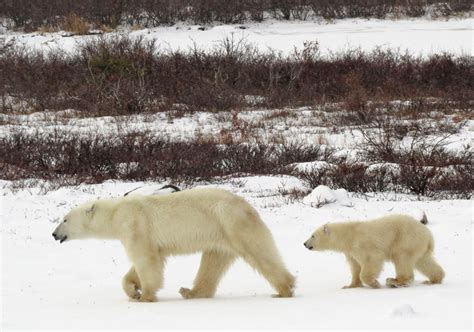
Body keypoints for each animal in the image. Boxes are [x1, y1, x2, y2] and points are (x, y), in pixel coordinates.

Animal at [53, 188, 294, 302]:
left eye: (64, 219)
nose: (54, 234)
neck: (117, 213)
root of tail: (248, 206)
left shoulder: (136, 226)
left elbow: (146, 260)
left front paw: (145, 295)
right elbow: (150, 260)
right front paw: (134, 290)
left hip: (232, 223)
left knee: (259, 251)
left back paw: (284, 289)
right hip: (219, 236)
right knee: (212, 263)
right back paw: (191, 291)